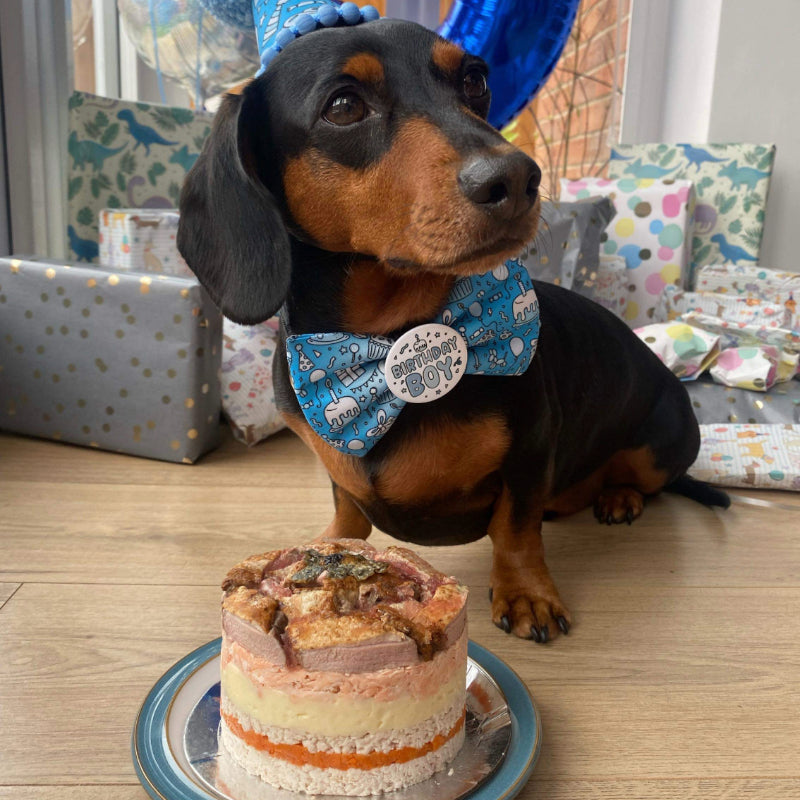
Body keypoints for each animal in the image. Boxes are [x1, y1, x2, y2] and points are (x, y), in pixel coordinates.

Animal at [180, 18, 724, 644]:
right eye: (343, 105)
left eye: (475, 79)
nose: (518, 178)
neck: (388, 344)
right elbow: (347, 505)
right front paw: (329, 546)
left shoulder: (531, 447)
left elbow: (516, 527)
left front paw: (527, 591)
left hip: (663, 441)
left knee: (640, 477)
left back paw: (619, 495)